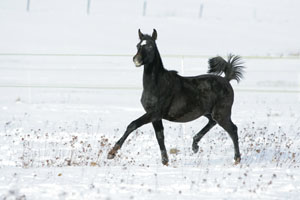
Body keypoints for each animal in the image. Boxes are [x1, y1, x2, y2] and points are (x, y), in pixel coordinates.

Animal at [107, 28, 244, 165]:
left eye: (150, 46)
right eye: (138, 45)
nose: (136, 60)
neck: (157, 85)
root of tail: (226, 80)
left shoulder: (154, 113)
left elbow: (133, 124)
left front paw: (112, 152)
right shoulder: (156, 117)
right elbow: (160, 136)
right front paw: (165, 161)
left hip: (222, 113)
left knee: (233, 129)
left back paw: (237, 159)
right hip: (208, 112)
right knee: (212, 122)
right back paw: (195, 145)